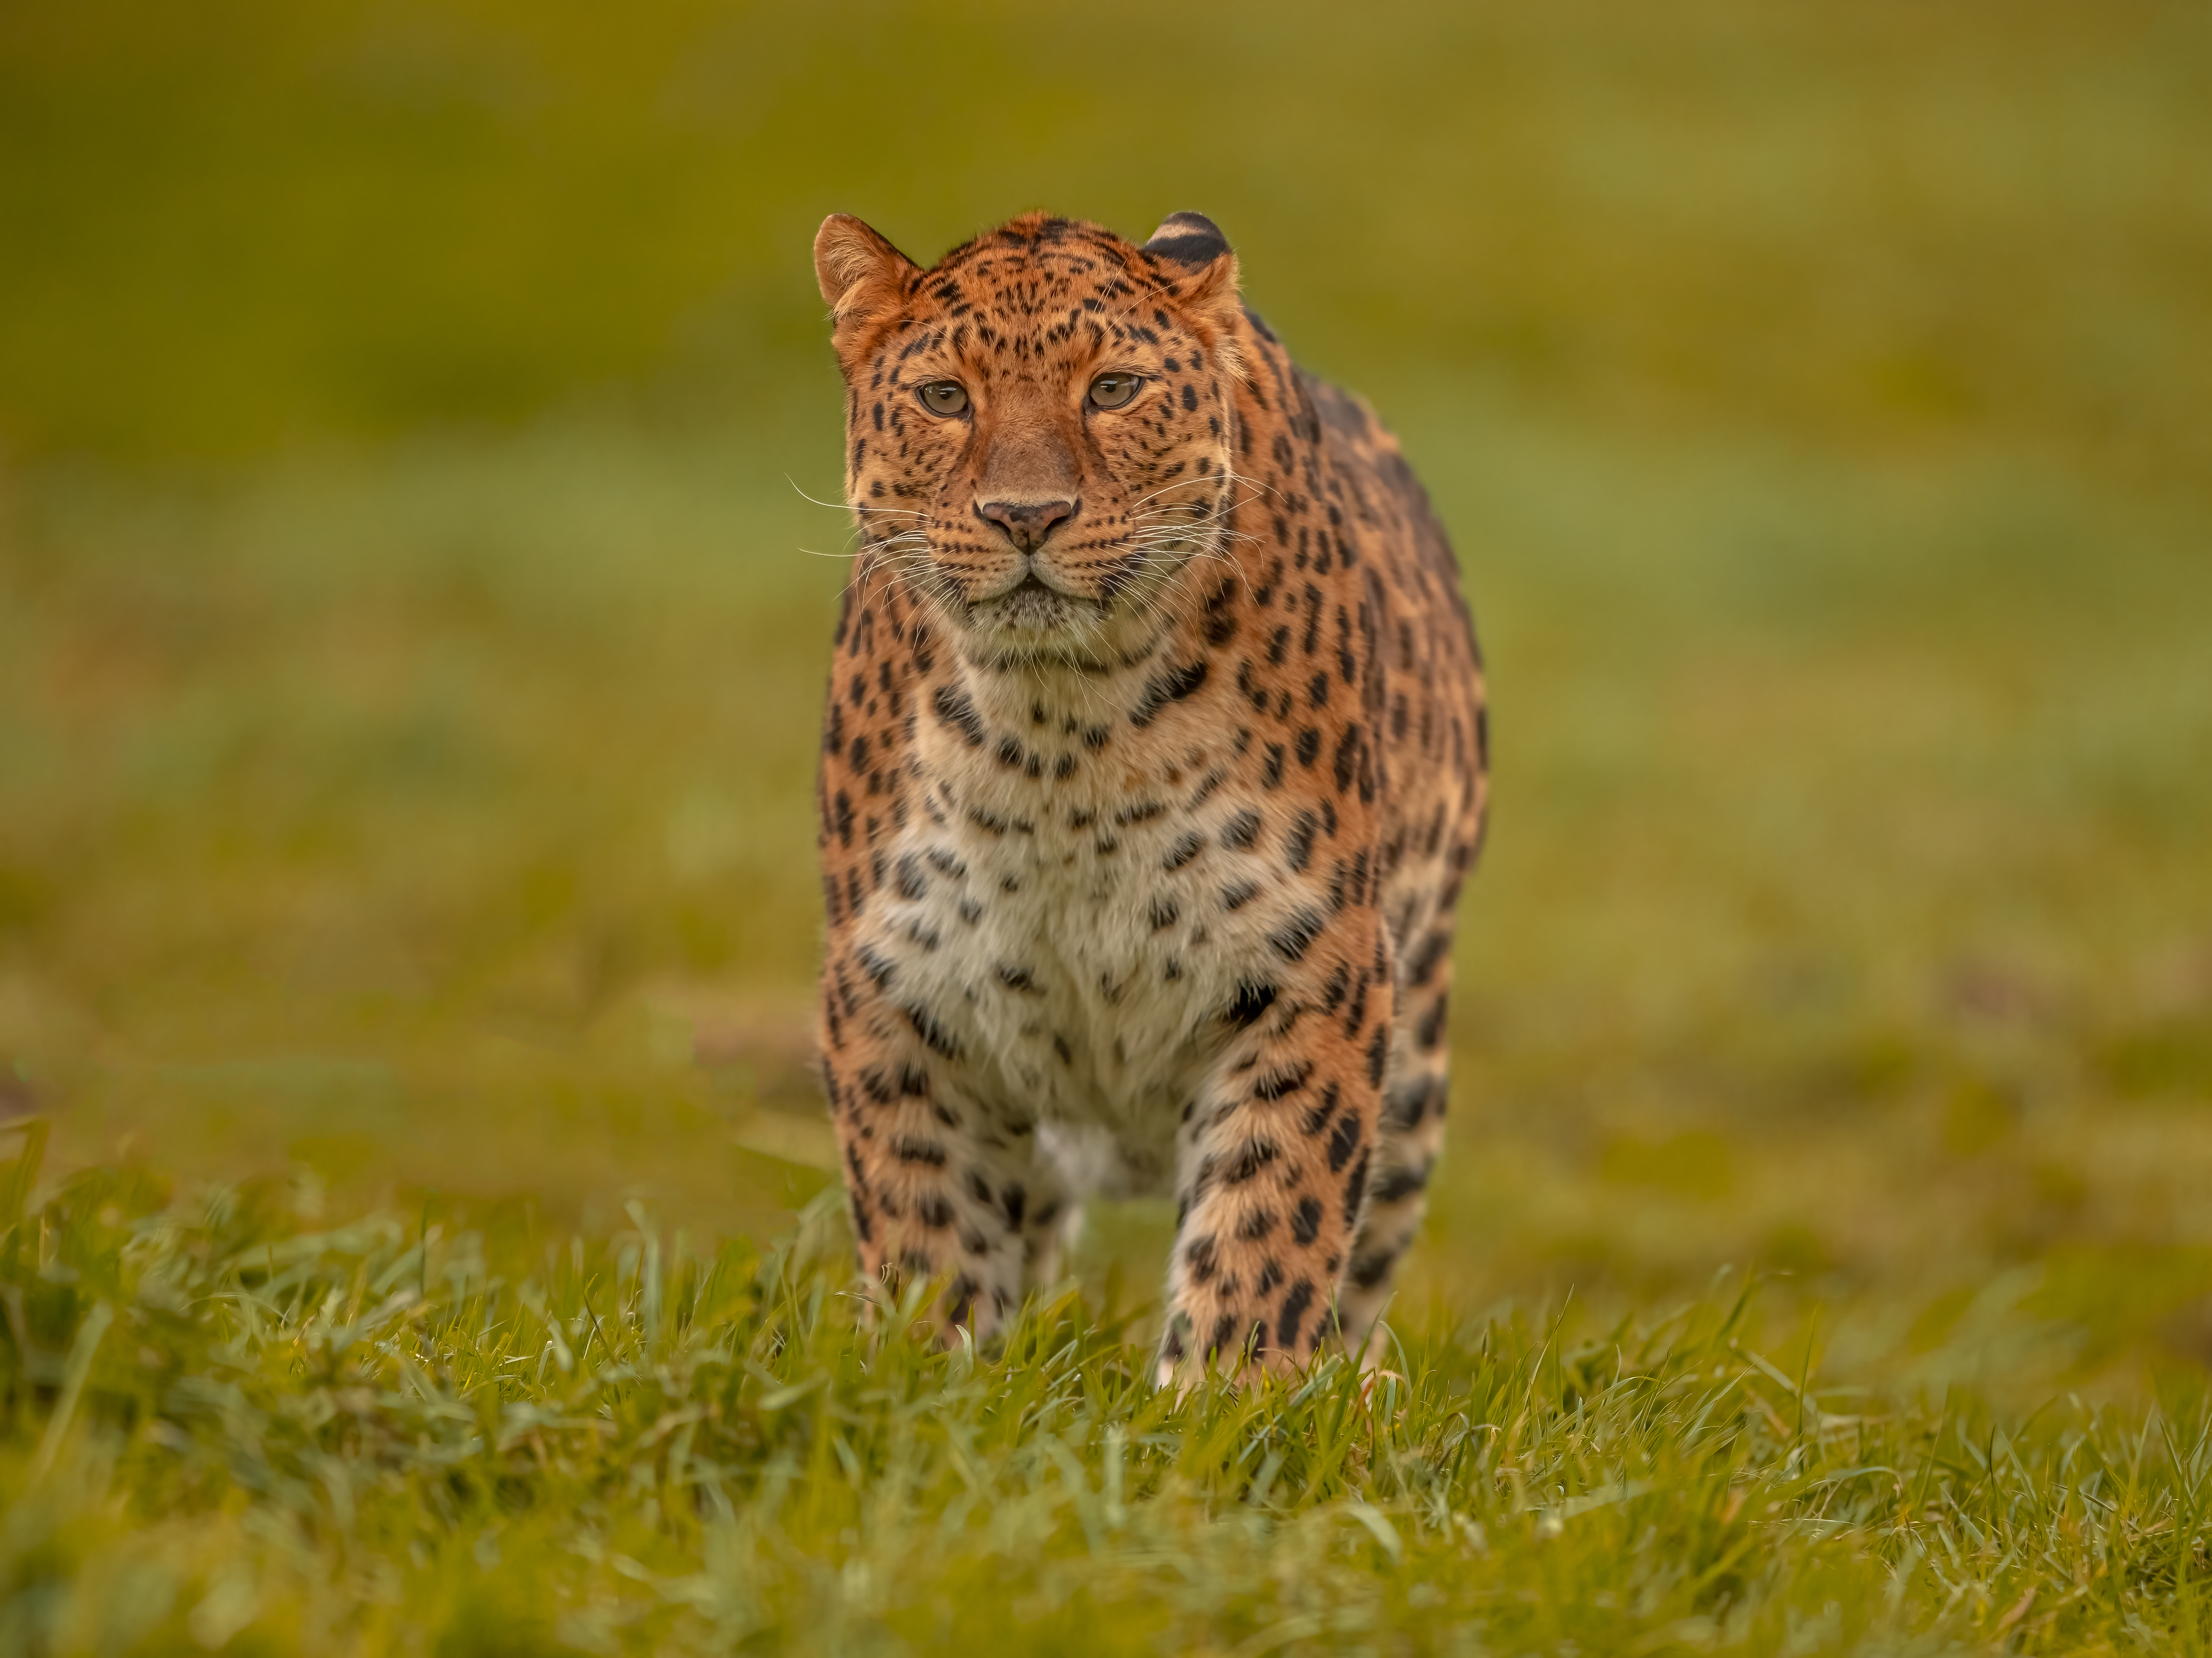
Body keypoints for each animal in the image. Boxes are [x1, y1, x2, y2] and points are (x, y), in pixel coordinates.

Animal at [808, 208, 1487, 1379]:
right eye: (946, 397)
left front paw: (1227, 1396)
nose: (1026, 514)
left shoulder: (1312, 968)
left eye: (1113, 389)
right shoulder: (895, 983)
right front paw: (929, 1375)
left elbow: (1269, 1227)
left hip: (1417, 1062)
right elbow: (925, 1229)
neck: (1059, 738)